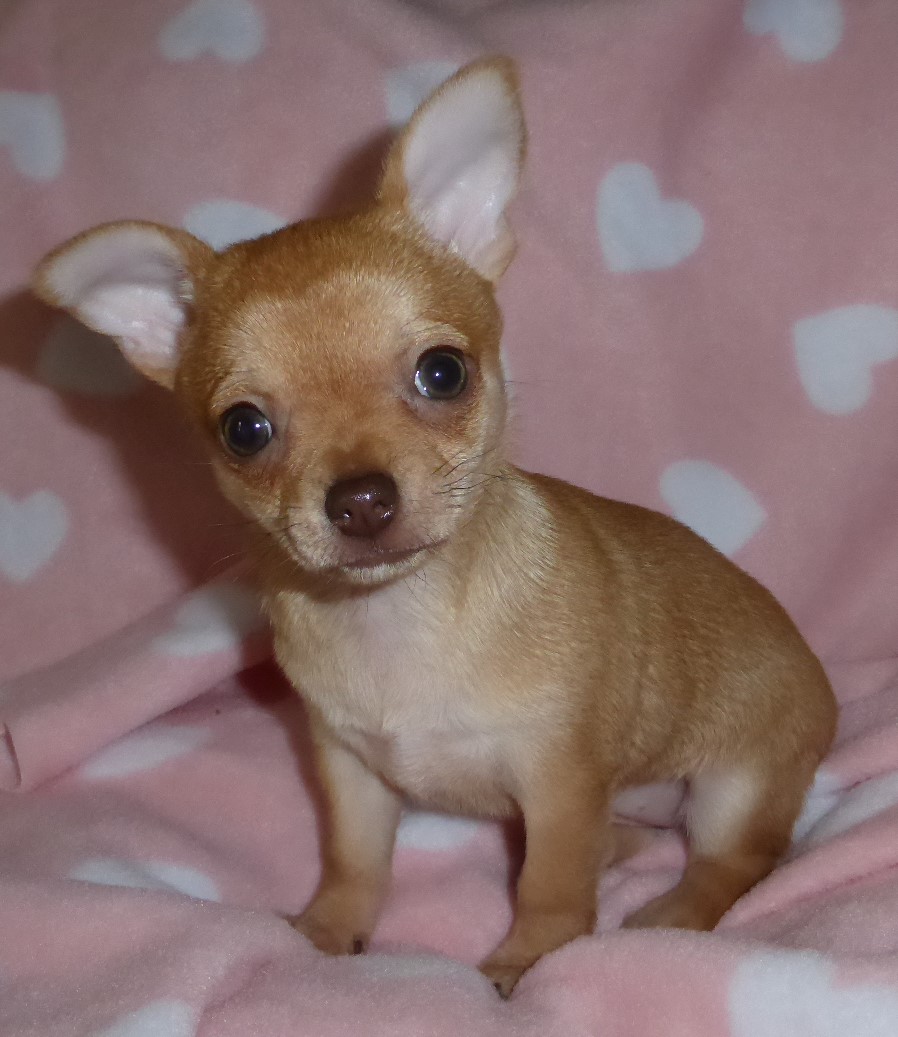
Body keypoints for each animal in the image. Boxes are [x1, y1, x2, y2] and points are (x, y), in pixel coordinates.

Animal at [32, 57, 836, 996]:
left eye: (443, 372)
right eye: (244, 429)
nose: (361, 500)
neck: (399, 619)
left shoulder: (559, 781)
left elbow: (549, 885)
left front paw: (530, 962)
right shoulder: (349, 770)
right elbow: (355, 862)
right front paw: (326, 931)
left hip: (735, 785)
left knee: (734, 862)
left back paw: (668, 913)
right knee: (645, 838)